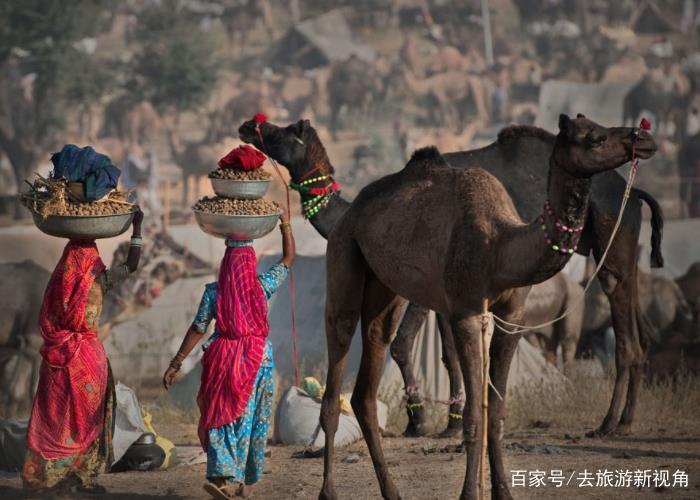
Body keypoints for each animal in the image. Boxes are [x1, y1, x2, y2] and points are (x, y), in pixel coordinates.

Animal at [241, 114, 668, 442]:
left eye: (286, 130)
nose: (249, 125)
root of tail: (634, 191)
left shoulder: (422, 288)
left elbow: (405, 345)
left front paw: (421, 420)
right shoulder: (446, 290)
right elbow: (448, 353)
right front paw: (451, 423)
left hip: (614, 237)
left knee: (623, 330)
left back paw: (609, 425)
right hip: (622, 249)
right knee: (637, 326)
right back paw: (626, 420)